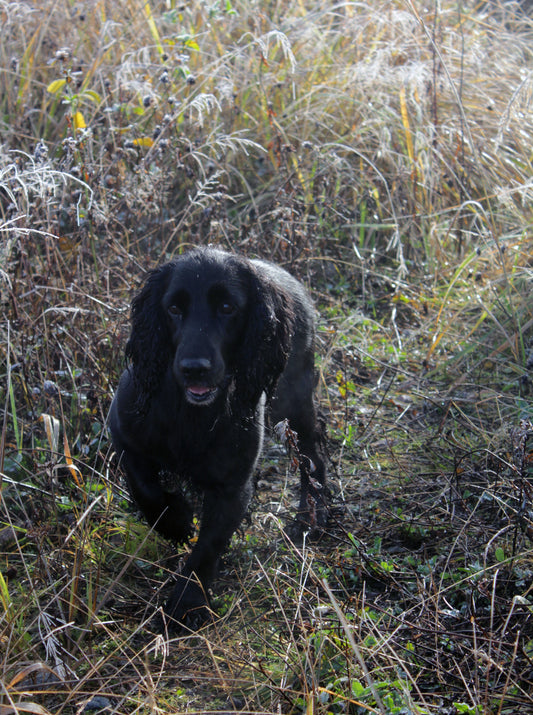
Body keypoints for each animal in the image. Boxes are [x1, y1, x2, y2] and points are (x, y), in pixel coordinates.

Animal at [109, 249, 324, 628]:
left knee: (312, 460)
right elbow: (146, 489)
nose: (195, 368)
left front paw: (185, 605)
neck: (189, 411)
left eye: (227, 307)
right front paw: (177, 521)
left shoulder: (232, 486)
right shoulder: (123, 433)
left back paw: (309, 518)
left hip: (296, 406)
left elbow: (208, 546)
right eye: (173, 308)